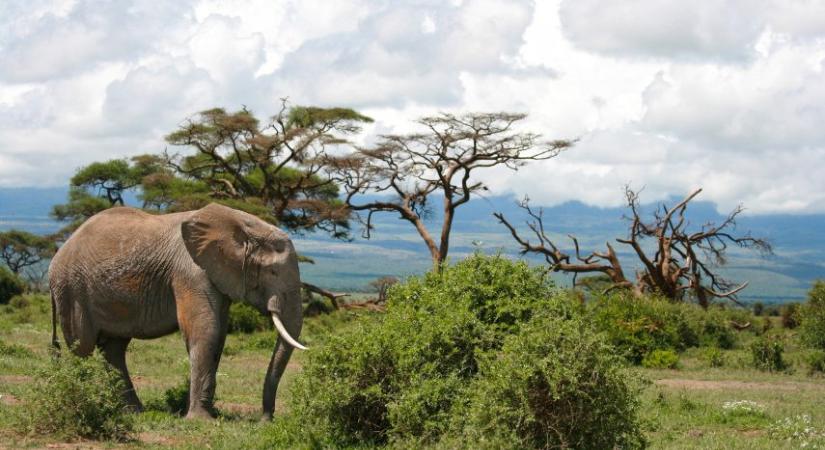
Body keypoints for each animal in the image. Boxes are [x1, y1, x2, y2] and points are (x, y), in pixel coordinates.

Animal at [48, 202, 306, 420]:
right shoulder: (190, 273)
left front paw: (207, 415)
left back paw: (133, 412)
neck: (243, 224)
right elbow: (206, 331)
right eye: (272, 272)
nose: (265, 420)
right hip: (72, 289)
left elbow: (219, 337)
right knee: (81, 346)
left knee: (113, 348)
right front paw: (201, 420)